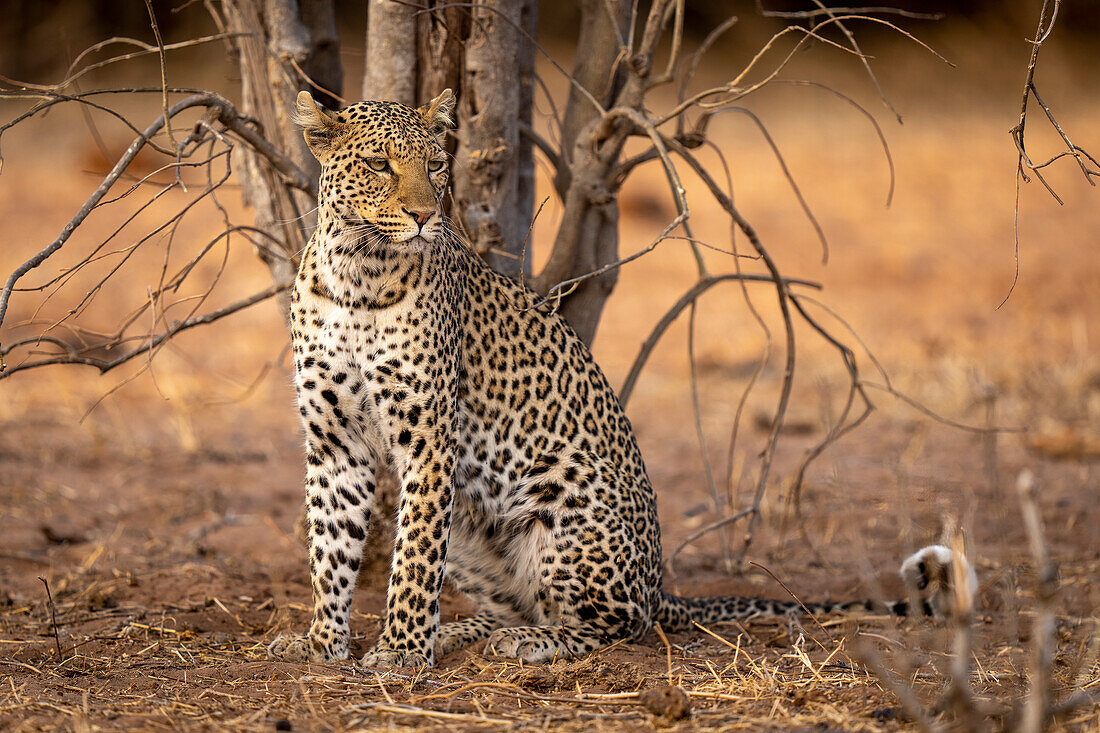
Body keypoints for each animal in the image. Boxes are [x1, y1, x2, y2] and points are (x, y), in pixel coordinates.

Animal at [268, 86, 981, 669]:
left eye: (435, 166)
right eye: (378, 166)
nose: (424, 216)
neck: (358, 276)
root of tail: (660, 582)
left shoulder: (429, 438)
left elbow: (413, 556)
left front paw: (399, 652)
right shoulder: (334, 440)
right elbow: (330, 545)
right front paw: (321, 642)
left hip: (564, 505)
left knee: (614, 625)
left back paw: (525, 643)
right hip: (473, 531)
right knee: (515, 604)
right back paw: (466, 633)